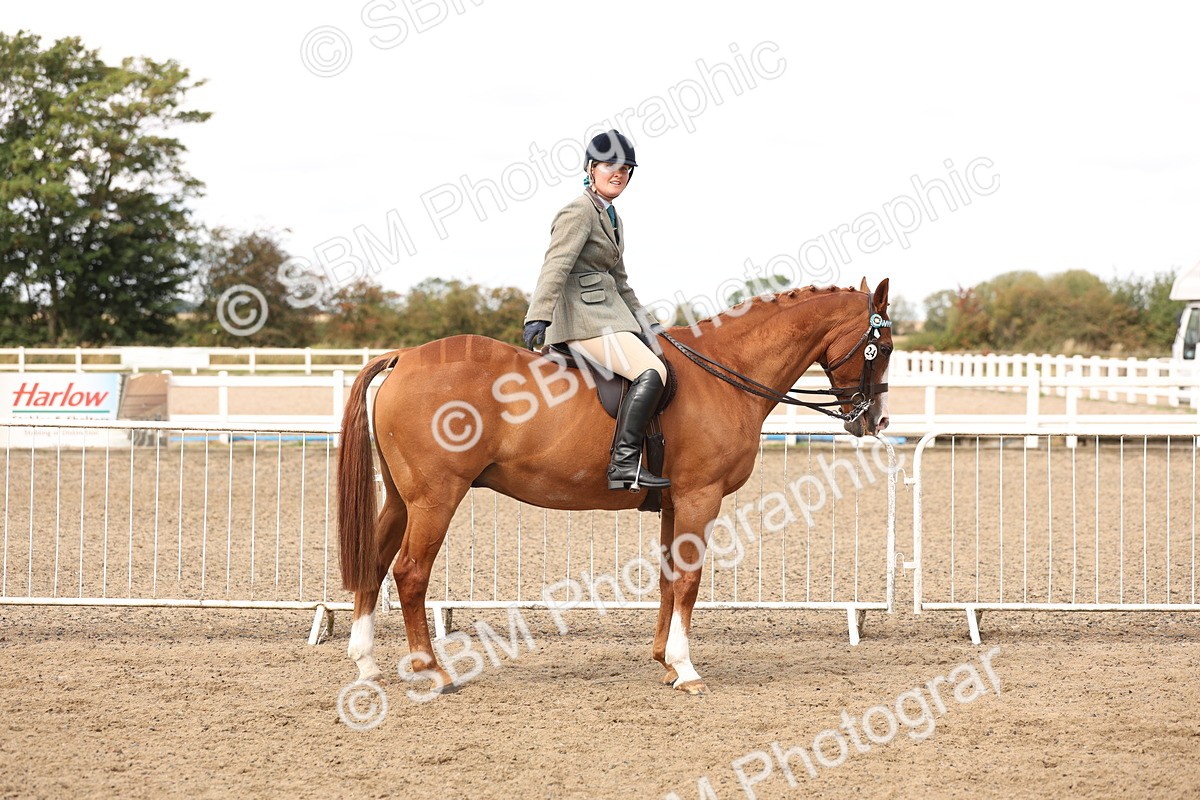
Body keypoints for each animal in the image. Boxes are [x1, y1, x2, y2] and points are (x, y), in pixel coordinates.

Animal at [337, 279, 893, 695]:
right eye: (882, 347)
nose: (876, 421)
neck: (724, 372)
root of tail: (406, 357)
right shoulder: (700, 497)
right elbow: (689, 580)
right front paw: (686, 669)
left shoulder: (674, 501)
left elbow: (669, 577)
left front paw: (664, 661)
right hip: (436, 498)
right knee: (410, 573)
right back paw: (432, 671)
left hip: (401, 499)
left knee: (375, 562)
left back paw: (366, 663)